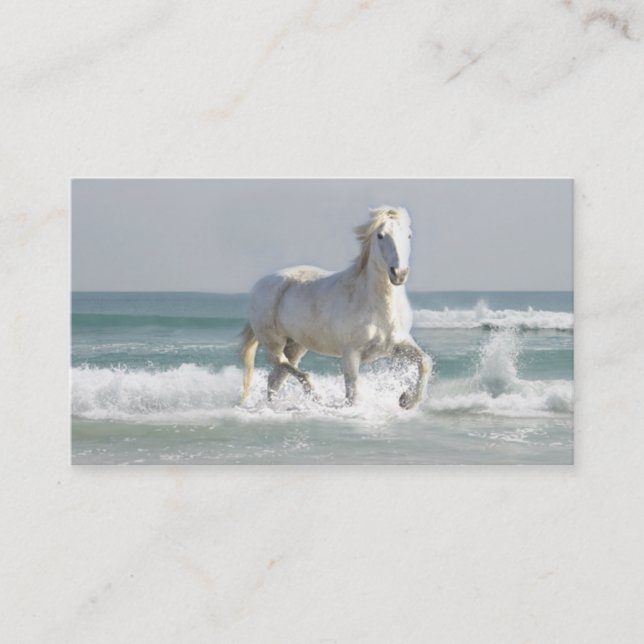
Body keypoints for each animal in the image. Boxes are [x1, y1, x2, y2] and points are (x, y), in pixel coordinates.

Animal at [240, 206, 431, 409]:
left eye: (408, 235)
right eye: (380, 235)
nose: (399, 273)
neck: (378, 308)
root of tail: (259, 284)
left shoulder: (398, 344)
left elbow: (425, 361)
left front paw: (407, 400)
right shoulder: (351, 354)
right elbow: (353, 392)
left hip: (296, 345)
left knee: (275, 377)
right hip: (273, 341)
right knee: (283, 365)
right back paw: (313, 393)